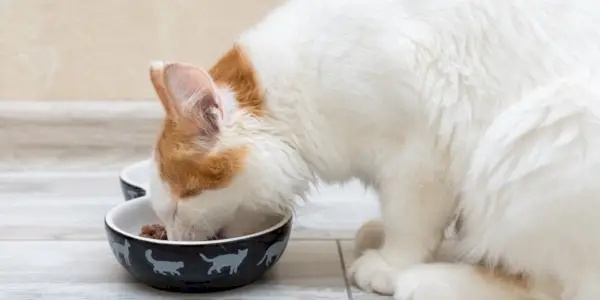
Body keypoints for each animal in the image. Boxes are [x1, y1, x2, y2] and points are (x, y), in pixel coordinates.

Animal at [144, 1, 600, 298]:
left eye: (180, 203)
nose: (175, 240)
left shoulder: (420, 156)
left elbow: (409, 222)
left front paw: (392, 262)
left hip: (526, 139)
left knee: (550, 286)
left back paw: (420, 281)